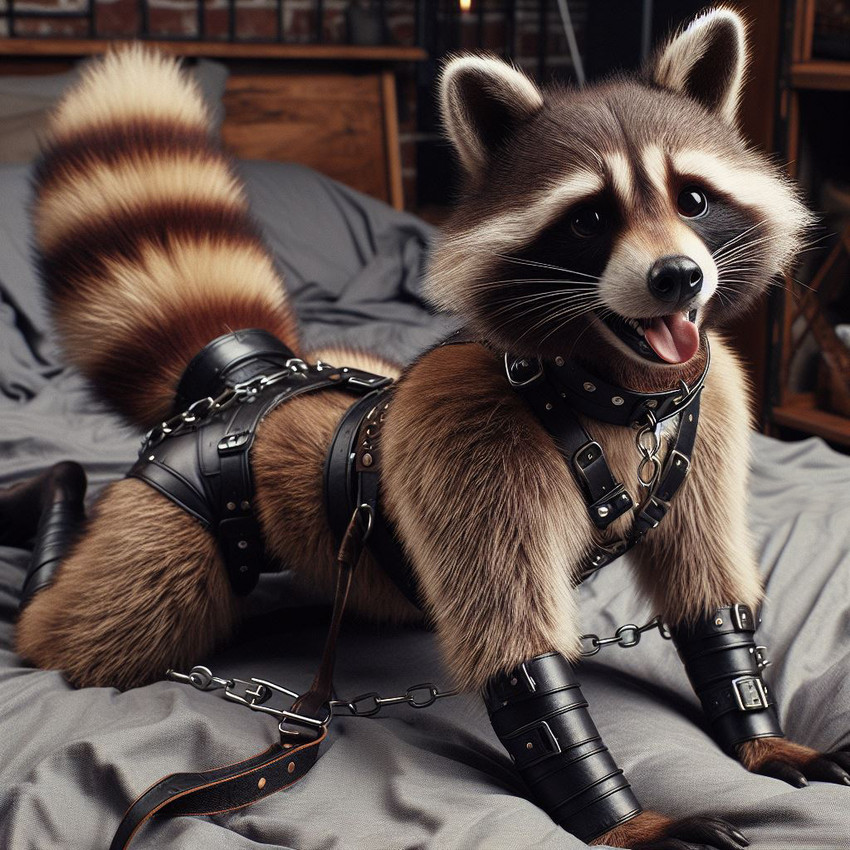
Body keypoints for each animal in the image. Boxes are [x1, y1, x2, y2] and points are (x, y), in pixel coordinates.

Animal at [9, 8, 850, 849]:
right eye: (590, 219)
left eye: (693, 199)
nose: (678, 277)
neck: (617, 389)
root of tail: (249, 374)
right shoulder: (467, 437)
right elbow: (522, 663)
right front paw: (627, 818)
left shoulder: (708, 414)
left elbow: (710, 596)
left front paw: (758, 730)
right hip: (172, 516)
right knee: (94, 622)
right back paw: (47, 518)